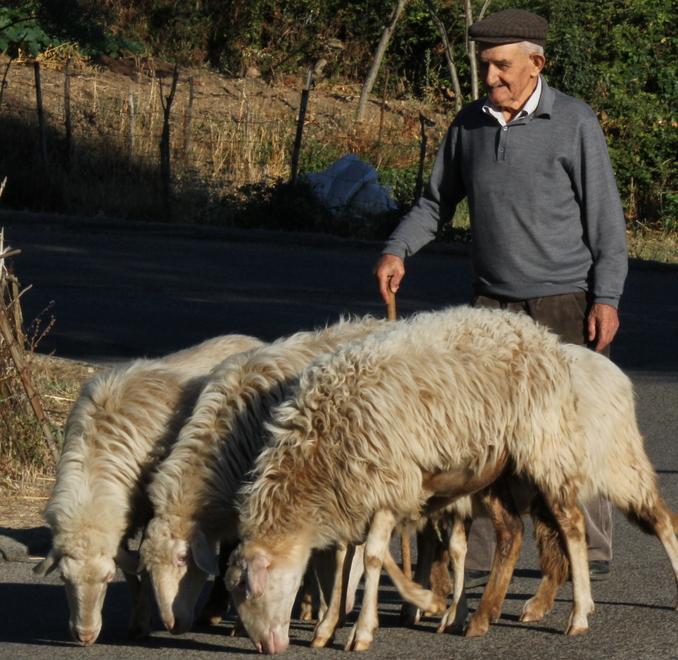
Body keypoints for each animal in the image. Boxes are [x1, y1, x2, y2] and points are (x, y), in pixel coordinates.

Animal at [33, 334, 263, 646]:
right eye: (63, 578)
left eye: (107, 579)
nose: (85, 636)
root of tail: (249, 339)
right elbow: (132, 572)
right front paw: (138, 621)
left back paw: (216, 610)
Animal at [225, 305, 663, 653]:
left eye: (249, 588)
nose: (266, 648)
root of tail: (539, 334)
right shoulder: (358, 493)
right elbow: (347, 556)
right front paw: (329, 627)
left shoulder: (389, 485)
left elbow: (373, 557)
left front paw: (370, 628)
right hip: (501, 467)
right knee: (517, 532)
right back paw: (485, 615)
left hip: (545, 448)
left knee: (572, 526)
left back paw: (578, 615)